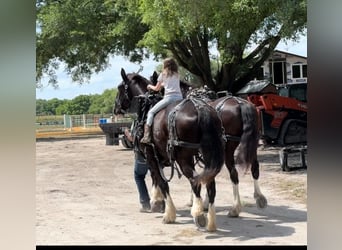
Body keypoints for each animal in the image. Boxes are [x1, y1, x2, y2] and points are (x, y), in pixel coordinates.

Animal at [115, 67, 226, 231]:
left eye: (119, 88)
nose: (115, 108)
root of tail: (200, 109)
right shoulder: (160, 156)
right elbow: (156, 179)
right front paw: (158, 202)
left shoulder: (150, 155)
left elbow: (161, 181)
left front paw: (167, 212)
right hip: (207, 155)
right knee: (210, 184)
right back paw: (211, 221)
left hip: (183, 158)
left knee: (195, 180)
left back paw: (198, 214)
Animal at [151, 72, 268, 217]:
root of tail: (240, 103)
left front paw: (198, 203)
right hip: (252, 143)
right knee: (254, 168)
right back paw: (259, 198)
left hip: (228, 148)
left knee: (233, 172)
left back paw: (235, 208)